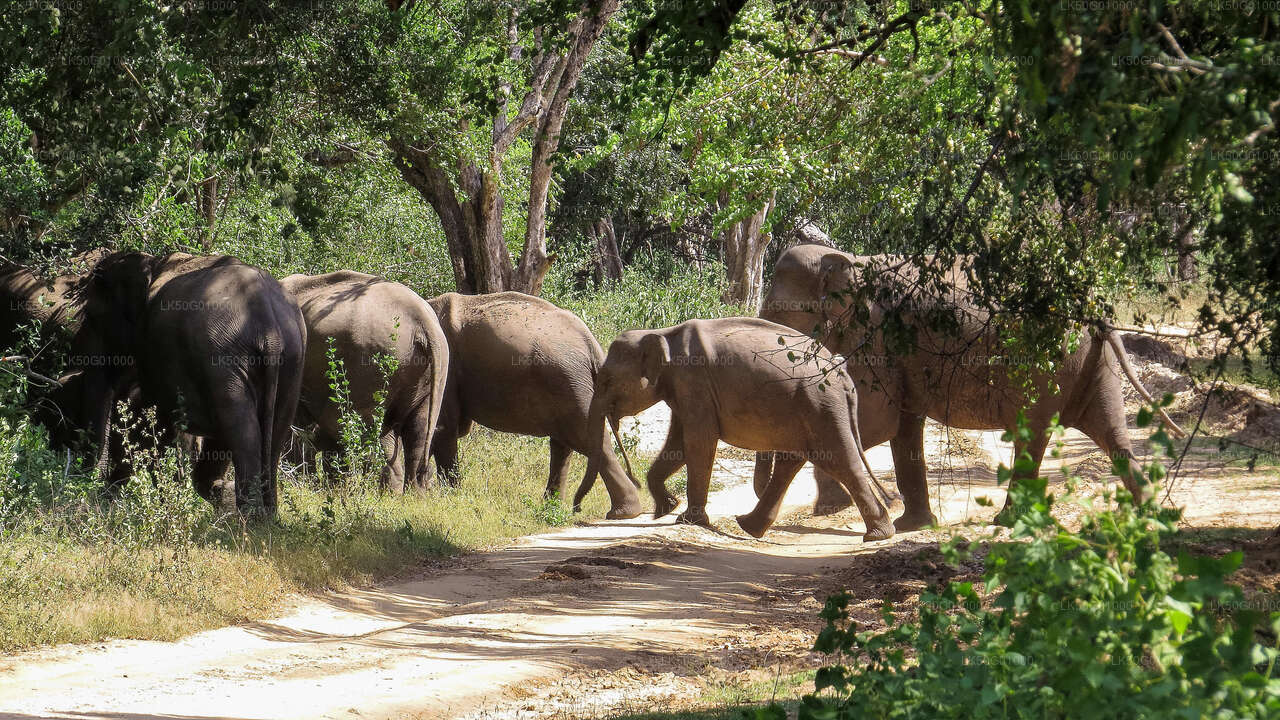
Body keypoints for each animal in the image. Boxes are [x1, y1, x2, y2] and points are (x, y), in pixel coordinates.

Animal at [71, 249, 305, 512]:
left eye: (91, 317)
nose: (98, 488)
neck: (152, 261)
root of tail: (270, 328)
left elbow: (159, 418)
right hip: (292, 360)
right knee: (272, 436)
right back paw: (265, 515)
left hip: (224, 361)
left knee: (243, 435)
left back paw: (247, 516)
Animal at [430, 288, 645, 517]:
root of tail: (590, 343)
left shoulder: (445, 370)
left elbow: (442, 428)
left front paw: (449, 497)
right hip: (569, 387)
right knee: (564, 444)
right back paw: (552, 507)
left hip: (568, 384)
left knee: (587, 440)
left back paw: (622, 513)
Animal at [586, 316, 896, 540]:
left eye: (607, 381)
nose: (635, 481)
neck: (662, 333)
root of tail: (843, 374)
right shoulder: (682, 388)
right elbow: (678, 444)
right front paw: (666, 509)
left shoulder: (693, 381)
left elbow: (698, 441)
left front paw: (687, 519)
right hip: (808, 409)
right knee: (792, 462)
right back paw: (748, 526)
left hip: (822, 407)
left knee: (838, 460)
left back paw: (878, 535)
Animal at [752, 243, 1182, 530]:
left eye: (779, 316)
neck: (848, 259)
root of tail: (1095, 309)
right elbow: (902, 427)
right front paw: (913, 526)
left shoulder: (875, 338)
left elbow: (877, 421)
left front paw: (826, 509)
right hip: (1094, 362)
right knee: (1110, 428)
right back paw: (1153, 514)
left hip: (1045, 360)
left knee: (1034, 430)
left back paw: (1008, 522)